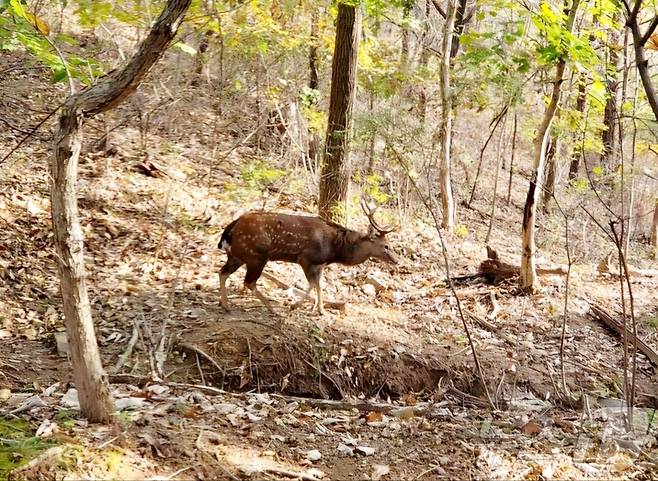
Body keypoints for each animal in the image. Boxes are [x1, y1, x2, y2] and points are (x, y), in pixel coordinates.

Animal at [218, 202, 398, 316]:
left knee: (222, 272)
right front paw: (295, 305)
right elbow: (312, 284)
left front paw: (320, 310)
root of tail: (231, 227)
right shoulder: (306, 259)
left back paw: (225, 305)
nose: (397, 261)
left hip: (237, 255)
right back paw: (271, 309)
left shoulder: (320, 265)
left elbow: (319, 285)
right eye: (386, 246)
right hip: (256, 256)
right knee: (249, 282)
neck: (335, 250)